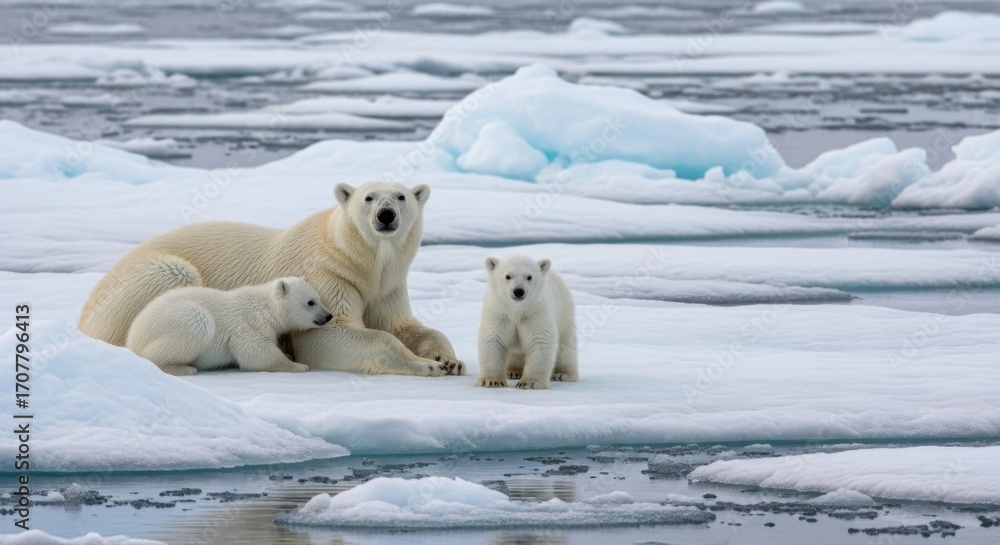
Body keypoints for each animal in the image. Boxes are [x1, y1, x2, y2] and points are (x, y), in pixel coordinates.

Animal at [126, 277, 333, 376]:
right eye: (311, 302)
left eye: (319, 298)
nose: (328, 316)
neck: (266, 307)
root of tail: (132, 338)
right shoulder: (248, 323)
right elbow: (255, 352)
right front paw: (298, 365)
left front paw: (289, 355)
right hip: (182, 319)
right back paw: (184, 368)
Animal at [476, 255, 578, 389]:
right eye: (508, 276)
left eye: (529, 276)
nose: (518, 291)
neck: (517, 310)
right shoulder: (499, 313)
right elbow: (493, 339)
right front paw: (491, 381)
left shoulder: (535, 313)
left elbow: (540, 340)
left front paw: (530, 382)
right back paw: (513, 371)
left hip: (564, 314)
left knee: (565, 347)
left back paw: (563, 374)